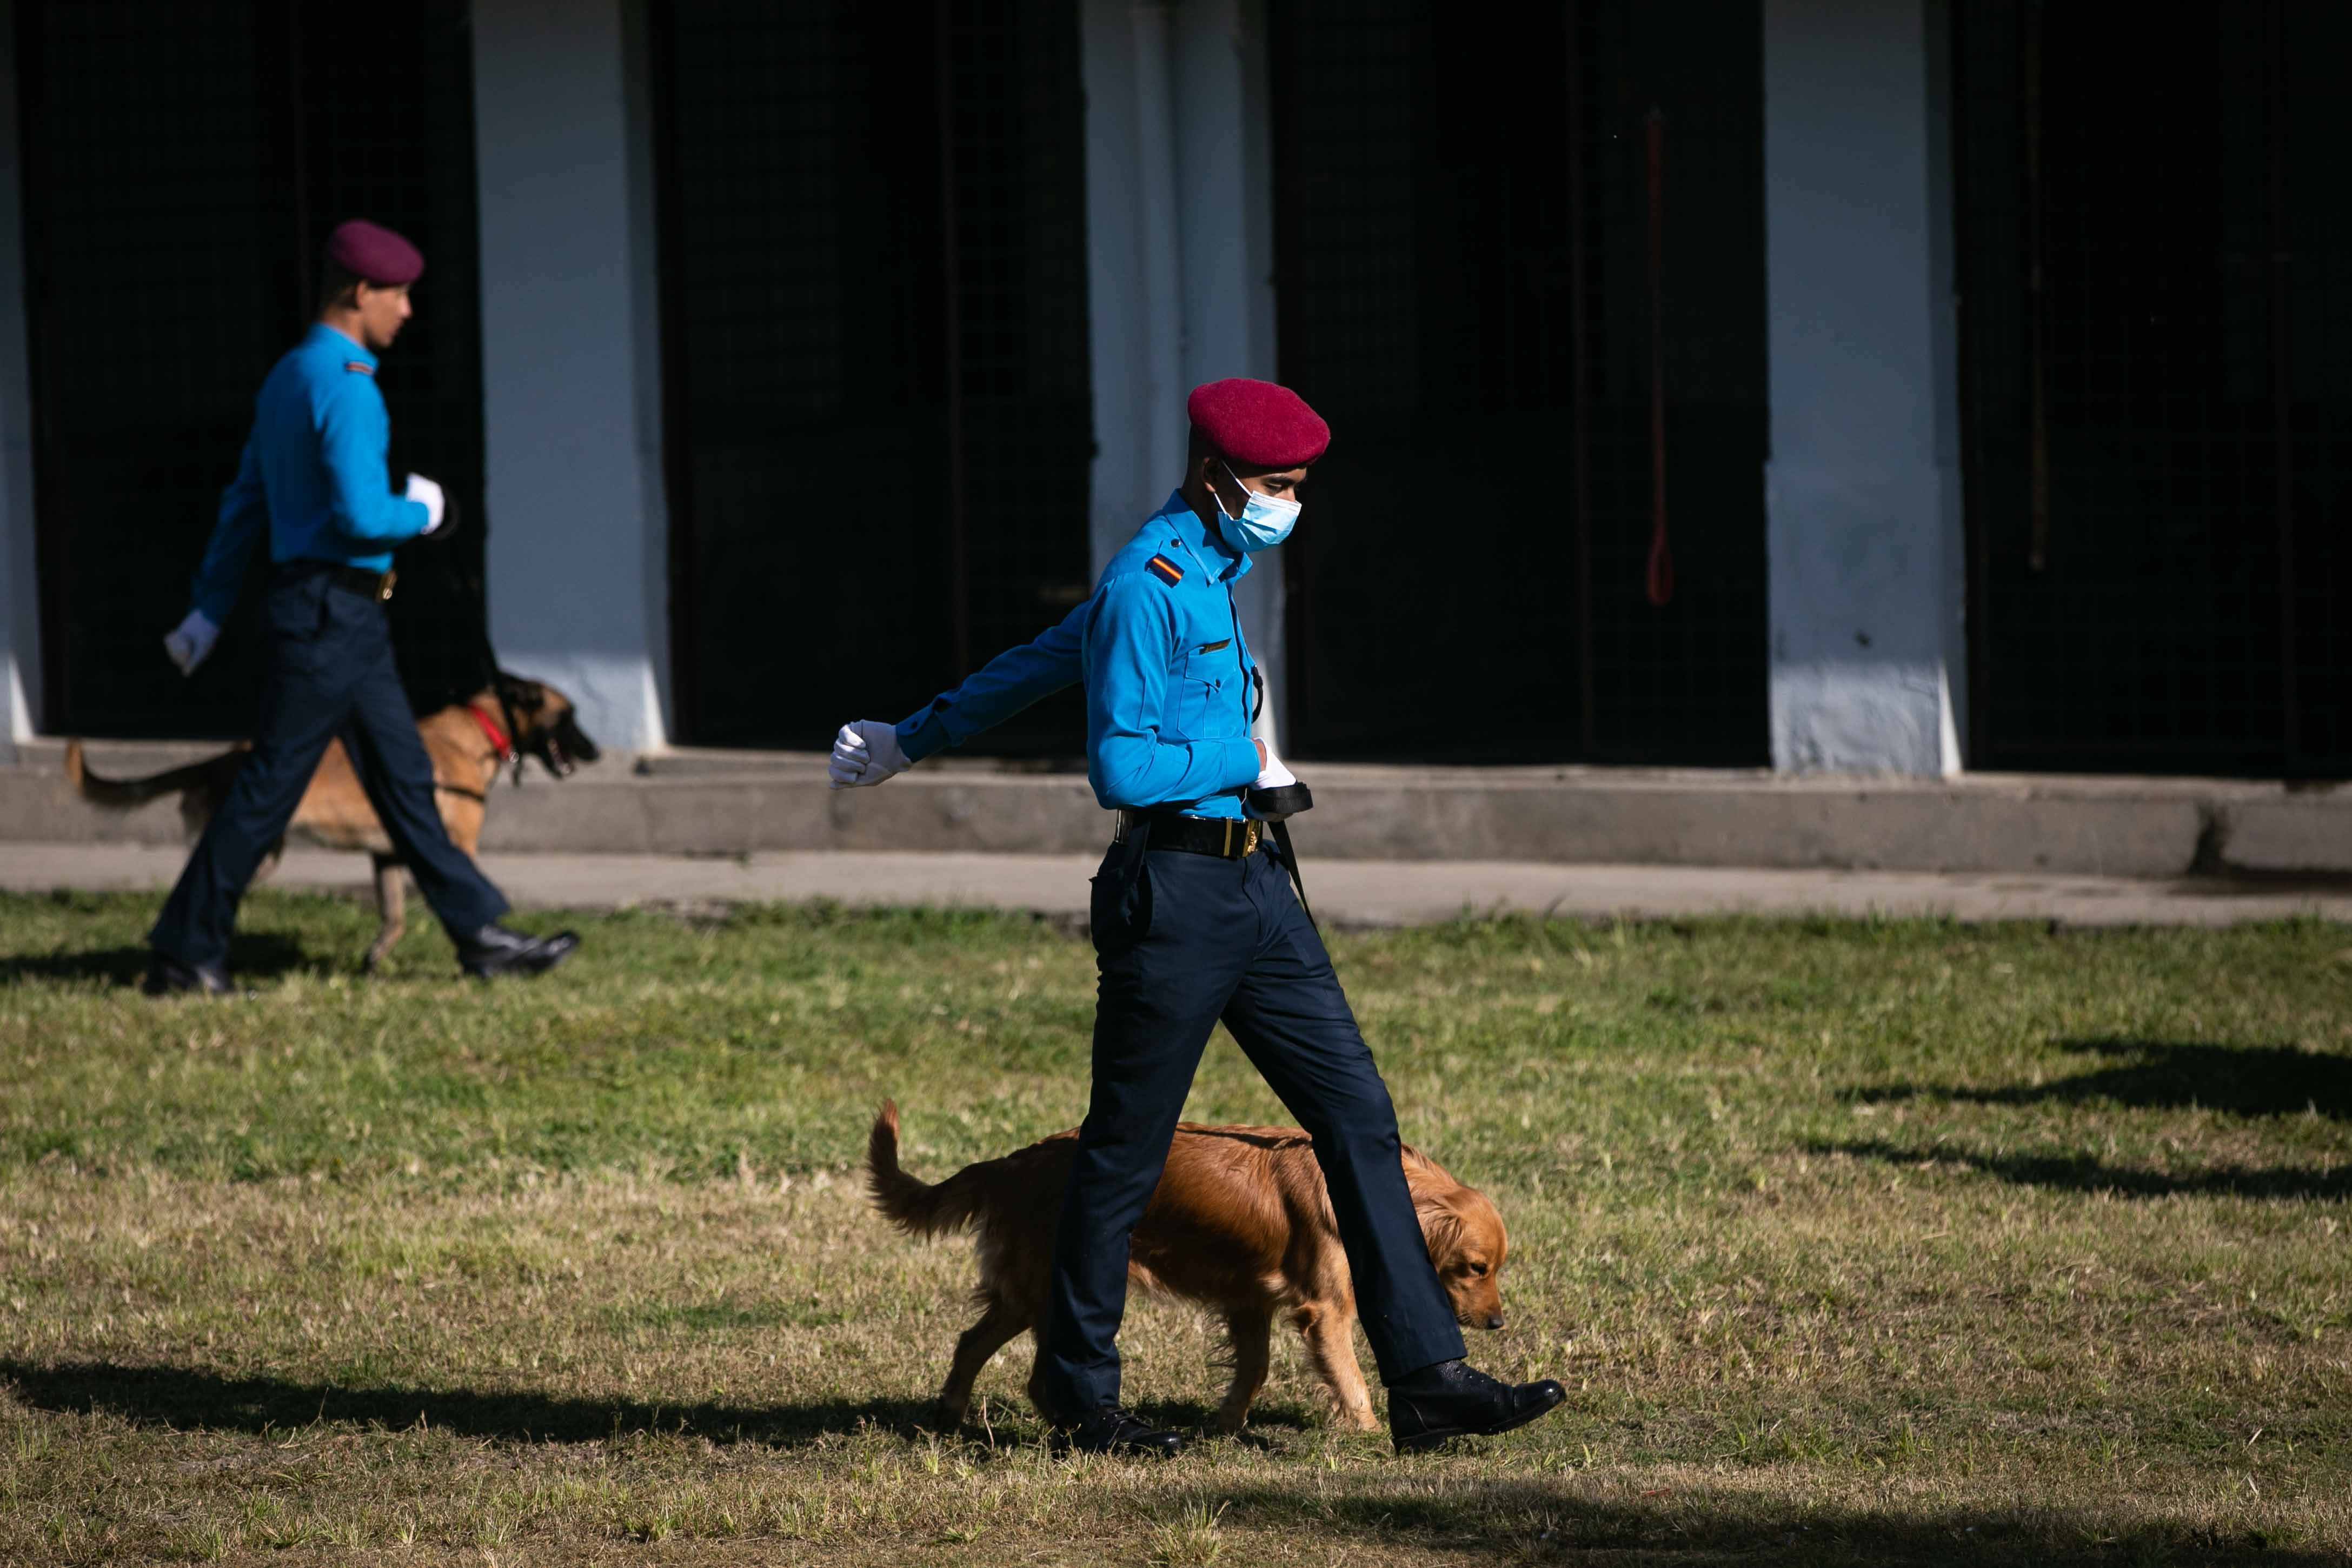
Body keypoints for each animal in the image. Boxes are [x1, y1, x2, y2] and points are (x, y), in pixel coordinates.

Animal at [67, 677, 597, 968]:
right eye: (569, 716)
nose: (596, 752)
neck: (478, 730)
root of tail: (219, 760)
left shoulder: (387, 854)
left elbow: (394, 917)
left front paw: (375, 962)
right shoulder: (456, 847)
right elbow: (466, 897)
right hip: (257, 853)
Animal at [865, 1105, 1505, 1438]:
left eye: (1497, 1268)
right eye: (1475, 1267)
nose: (1499, 1322)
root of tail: (1012, 1161)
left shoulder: (1250, 1300)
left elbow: (1253, 1368)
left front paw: (1226, 1424)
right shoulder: (1325, 1310)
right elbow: (1348, 1376)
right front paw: (1372, 1433)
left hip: (1029, 1294)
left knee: (975, 1342)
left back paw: (959, 1413)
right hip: (1048, 1288)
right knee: (1030, 1368)